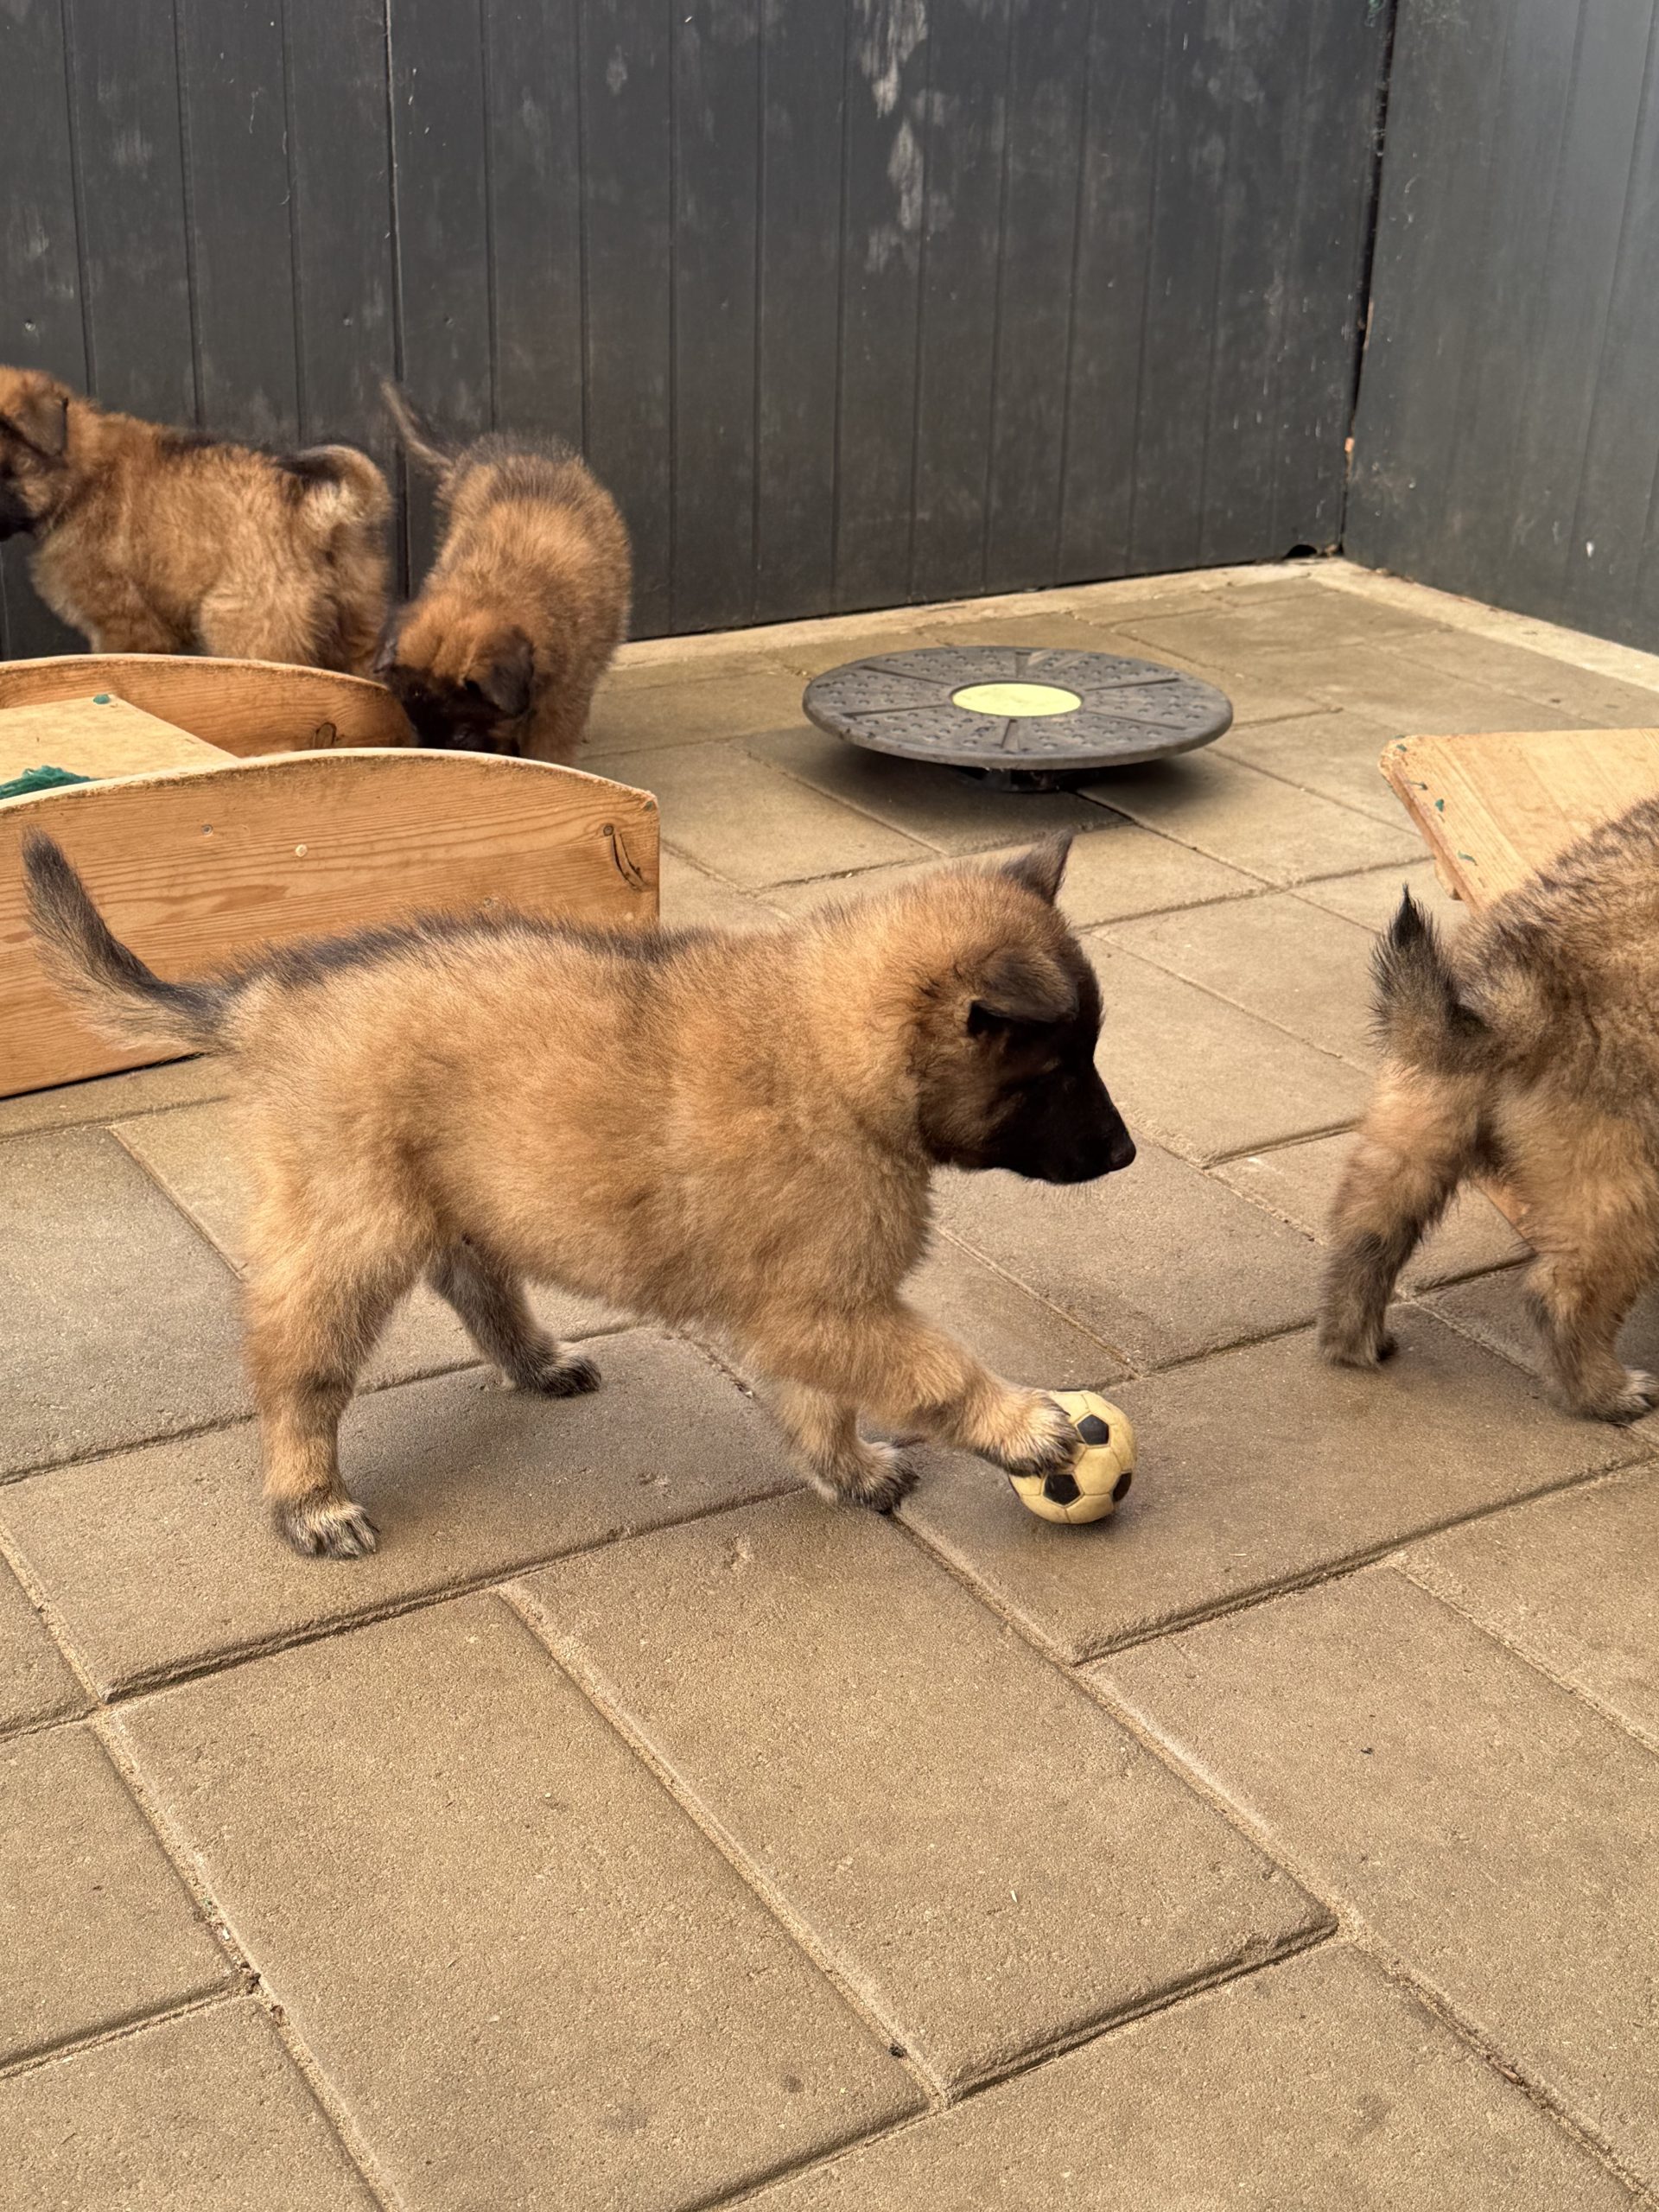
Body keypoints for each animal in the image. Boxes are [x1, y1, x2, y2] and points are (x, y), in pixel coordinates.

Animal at [25, 829, 1134, 1559]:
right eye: (1059, 1070)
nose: (1126, 1154)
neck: (830, 1049)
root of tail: (259, 1003)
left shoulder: (819, 1307)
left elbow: (821, 1401)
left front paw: (849, 1469)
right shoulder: (825, 1303)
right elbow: (930, 1366)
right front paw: (1024, 1427)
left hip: (459, 1191)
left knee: (472, 1280)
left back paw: (534, 1359)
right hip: (351, 1232)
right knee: (298, 1369)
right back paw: (309, 1500)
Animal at [1320, 796, 1659, 1421]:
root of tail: (1510, 1005)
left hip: (1415, 1121)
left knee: (1366, 1231)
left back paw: (1352, 1342)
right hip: (1627, 1168)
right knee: (1563, 1290)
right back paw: (1606, 1394)